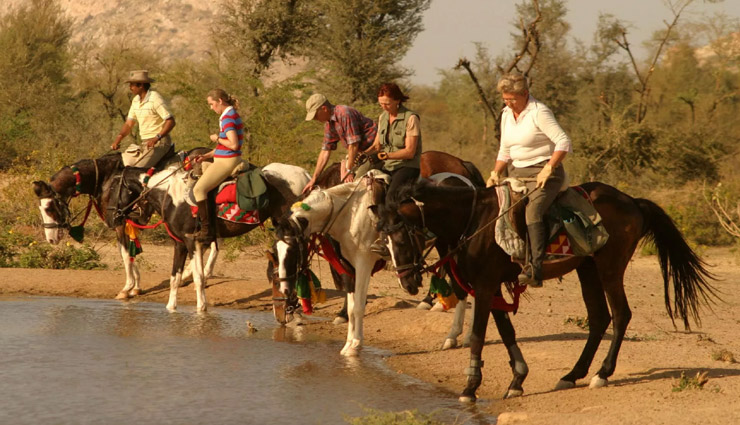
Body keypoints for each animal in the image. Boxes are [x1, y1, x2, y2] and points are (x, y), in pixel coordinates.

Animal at [32, 150, 218, 299]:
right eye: (41, 208)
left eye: (49, 208)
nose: (51, 239)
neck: (105, 180)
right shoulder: (126, 222)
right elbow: (131, 253)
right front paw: (136, 287)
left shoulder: (119, 223)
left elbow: (124, 253)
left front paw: (127, 288)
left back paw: (199, 274)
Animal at [106, 162, 310, 312]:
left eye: (113, 187)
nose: (111, 218)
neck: (171, 196)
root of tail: (304, 175)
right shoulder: (179, 244)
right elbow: (174, 278)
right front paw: (171, 307)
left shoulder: (192, 242)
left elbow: (198, 277)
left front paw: (201, 308)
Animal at [372, 178, 718, 402]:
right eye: (384, 241)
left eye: (400, 239)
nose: (407, 281)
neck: (474, 221)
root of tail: (633, 202)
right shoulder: (493, 287)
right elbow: (507, 332)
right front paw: (517, 379)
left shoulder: (484, 287)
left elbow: (479, 335)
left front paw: (471, 388)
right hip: (587, 270)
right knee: (599, 318)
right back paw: (573, 374)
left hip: (609, 268)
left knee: (620, 315)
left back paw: (602, 373)